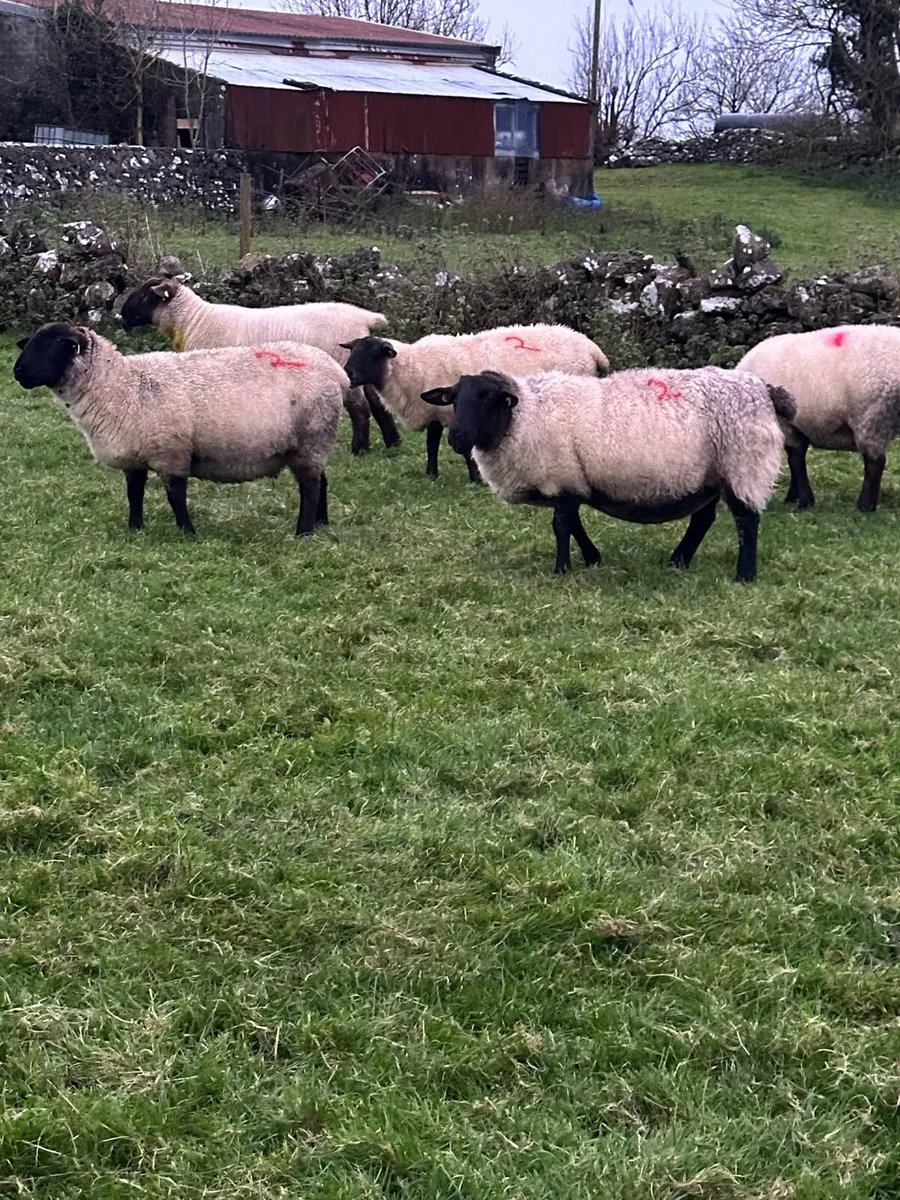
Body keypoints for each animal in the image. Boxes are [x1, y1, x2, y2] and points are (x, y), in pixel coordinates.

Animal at [13, 322, 347, 538]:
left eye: (55, 345)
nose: (17, 371)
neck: (123, 385)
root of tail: (335, 371)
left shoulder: (170, 452)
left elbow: (176, 497)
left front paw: (187, 533)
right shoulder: (136, 456)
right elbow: (134, 493)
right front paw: (135, 529)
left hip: (311, 437)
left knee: (310, 486)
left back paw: (303, 532)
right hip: (311, 444)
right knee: (322, 480)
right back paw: (322, 523)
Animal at [120, 276, 401, 456]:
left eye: (145, 294)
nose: (122, 314)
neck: (194, 321)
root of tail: (363, 318)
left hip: (346, 369)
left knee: (361, 409)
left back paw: (359, 449)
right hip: (363, 369)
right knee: (378, 404)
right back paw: (392, 443)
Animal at [339, 325, 610, 480]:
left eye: (373, 354)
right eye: (353, 351)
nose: (347, 374)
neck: (411, 367)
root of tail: (592, 347)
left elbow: (466, 450)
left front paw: (475, 478)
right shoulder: (437, 411)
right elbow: (431, 444)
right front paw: (431, 475)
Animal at [423, 366, 796, 582]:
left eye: (488, 397)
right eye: (453, 398)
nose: (457, 437)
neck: (526, 413)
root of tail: (765, 389)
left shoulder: (561, 476)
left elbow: (561, 526)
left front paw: (562, 570)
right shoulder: (572, 481)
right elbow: (574, 524)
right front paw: (592, 558)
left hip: (744, 463)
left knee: (747, 520)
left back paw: (745, 574)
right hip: (708, 476)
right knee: (703, 520)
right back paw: (678, 560)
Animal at [735, 324, 900, 512]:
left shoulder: (785, 423)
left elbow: (795, 458)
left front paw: (804, 502)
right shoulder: (795, 426)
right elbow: (795, 458)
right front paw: (793, 497)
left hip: (872, 415)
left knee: (875, 463)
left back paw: (864, 506)